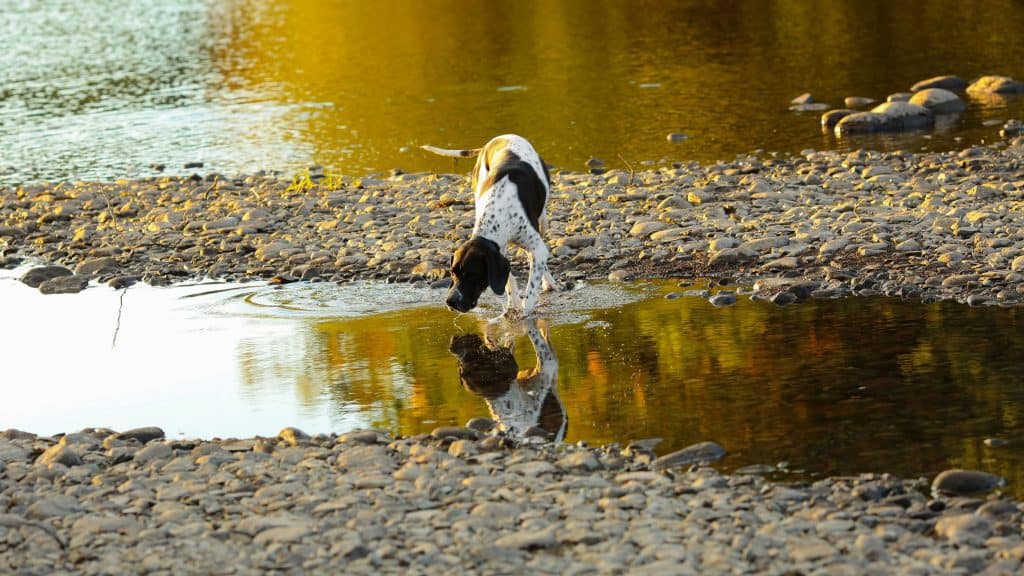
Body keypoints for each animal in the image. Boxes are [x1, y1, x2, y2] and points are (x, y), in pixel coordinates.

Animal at [419, 134, 561, 317]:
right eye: (452, 273)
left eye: (471, 275)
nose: (450, 301)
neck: (499, 209)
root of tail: (498, 139)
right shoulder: (499, 249)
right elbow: (509, 280)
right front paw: (513, 304)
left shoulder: (537, 248)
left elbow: (530, 292)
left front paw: (523, 314)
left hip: (542, 222)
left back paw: (548, 282)